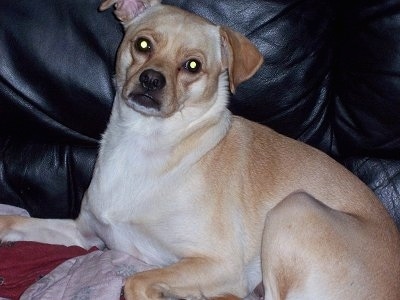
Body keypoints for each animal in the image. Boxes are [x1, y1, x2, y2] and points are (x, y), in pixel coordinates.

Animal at [0, 0, 400, 298]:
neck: (143, 142)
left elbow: (137, 282)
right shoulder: (85, 234)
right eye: (142, 45)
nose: (151, 80)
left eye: (192, 66)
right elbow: (15, 220)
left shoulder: (219, 264)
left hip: (295, 207)